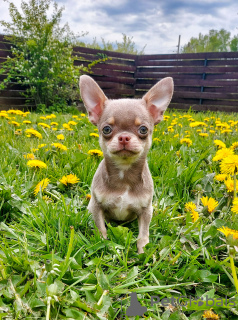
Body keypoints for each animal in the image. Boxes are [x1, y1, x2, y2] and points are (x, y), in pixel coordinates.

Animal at [79, 75, 174, 252]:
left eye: (143, 130)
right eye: (106, 129)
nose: (124, 137)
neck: (124, 174)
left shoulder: (145, 211)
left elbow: (143, 236)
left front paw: (143, 252)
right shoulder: (97, 206)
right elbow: (101, 229)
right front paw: (103, 244)